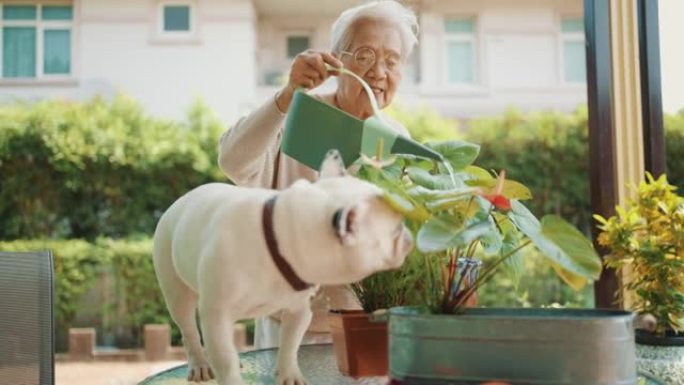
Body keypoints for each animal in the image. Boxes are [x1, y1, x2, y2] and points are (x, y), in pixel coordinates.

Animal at [153, 151, 414, 384]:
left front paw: (289, 375)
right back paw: (200, 365)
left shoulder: (299, 310)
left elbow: (289, 344)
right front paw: (231, 376)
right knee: (189, 329)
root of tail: (179, 202)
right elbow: (224, 361)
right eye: (396, 230)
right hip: (177, 291)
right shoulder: (216, 313)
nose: (410, 237)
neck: (280, 239)